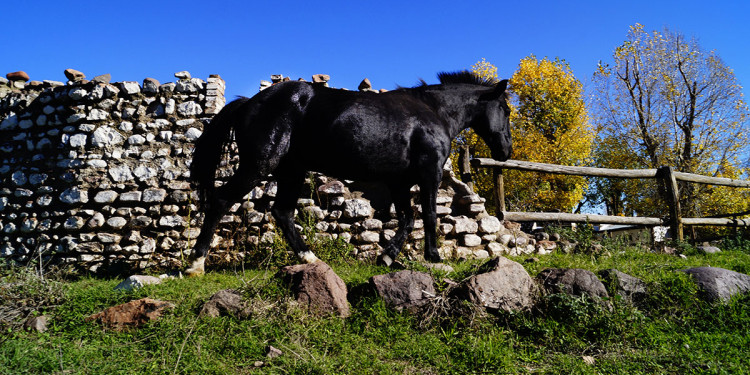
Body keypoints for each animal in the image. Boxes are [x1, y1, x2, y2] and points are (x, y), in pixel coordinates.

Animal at [187, 71, 516, 276]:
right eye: (506, 110)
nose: (506, 151)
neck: (434, 112)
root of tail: (248, 103)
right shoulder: (428, 174)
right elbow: (430, 215)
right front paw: (433, 257)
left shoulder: (399, 182)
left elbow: (408, 219)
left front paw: (387, 256)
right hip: (259, 165)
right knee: (220, 201)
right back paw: (195, 263)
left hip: (292, 171)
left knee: (282, 212)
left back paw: (309, 257)